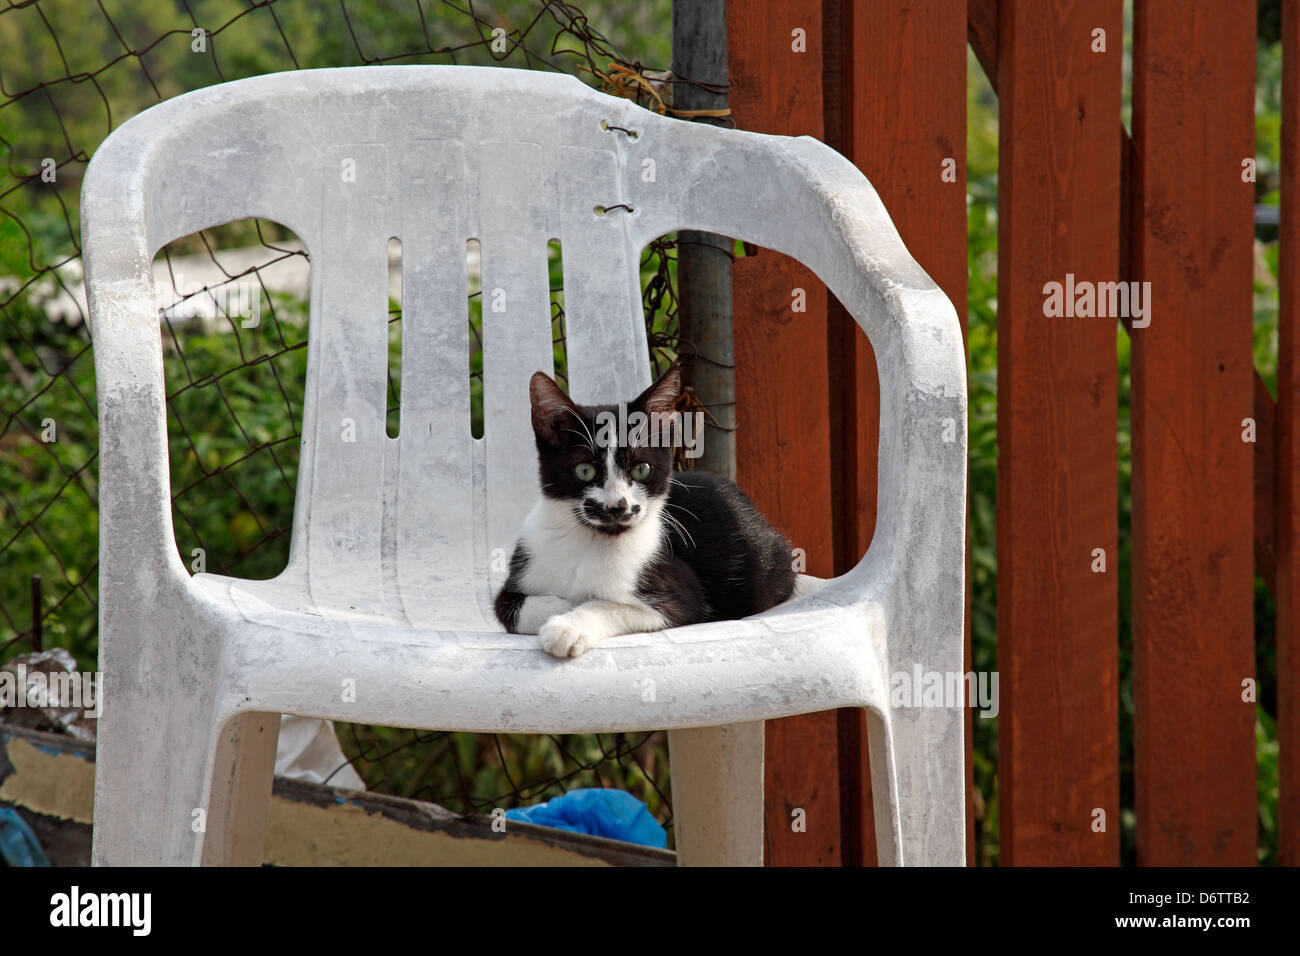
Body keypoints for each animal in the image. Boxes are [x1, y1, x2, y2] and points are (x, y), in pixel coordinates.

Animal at [491, 361, 790, 658]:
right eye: (584, 470)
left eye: (641, 469)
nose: (617, 505)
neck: (590, 540)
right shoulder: (523, 568)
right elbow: (507, 607)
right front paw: (563, 606)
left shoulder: (682, 597)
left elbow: (611, 605)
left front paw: (567, 626)